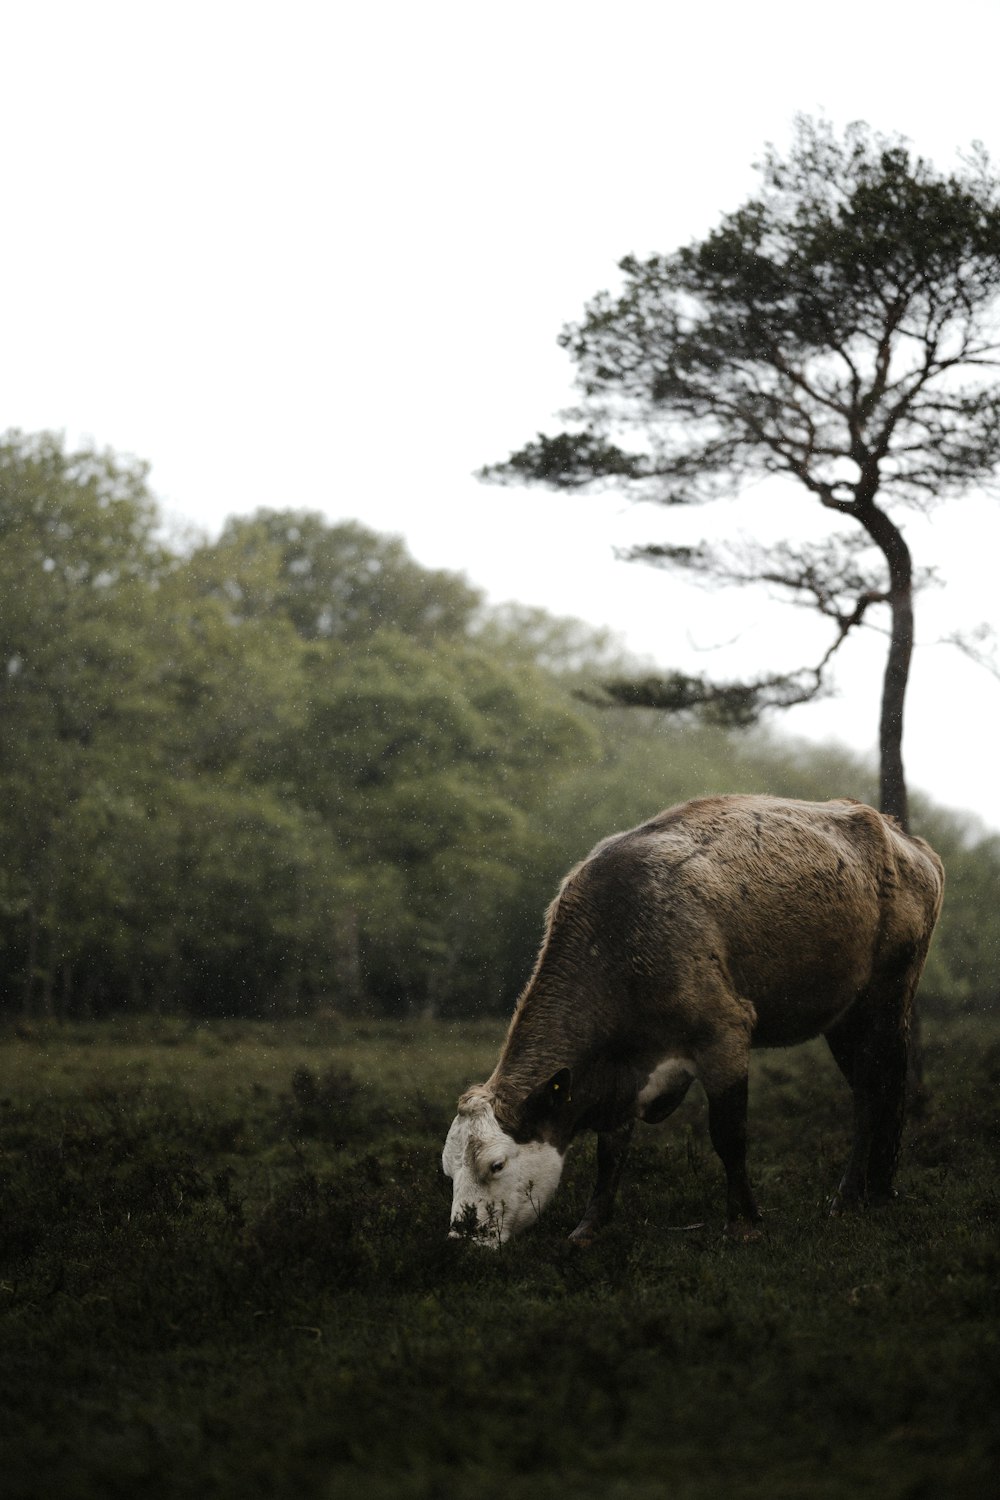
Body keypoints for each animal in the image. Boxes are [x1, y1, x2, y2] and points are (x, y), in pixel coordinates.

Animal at [443, 798, 947, 1242]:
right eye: (448, 1170)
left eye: (496, 1165)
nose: (462, 1236)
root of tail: (905, 839)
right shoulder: (624, 1071)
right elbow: (611, 1151)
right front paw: (589, 1227)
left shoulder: (724, 1034)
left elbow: (728, 1135)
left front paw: (743, 1224)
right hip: (843, 1016)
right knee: (866, 1090)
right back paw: (863, 1192)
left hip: (886, 999)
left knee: (883, 1088)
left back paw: (864, 1194)